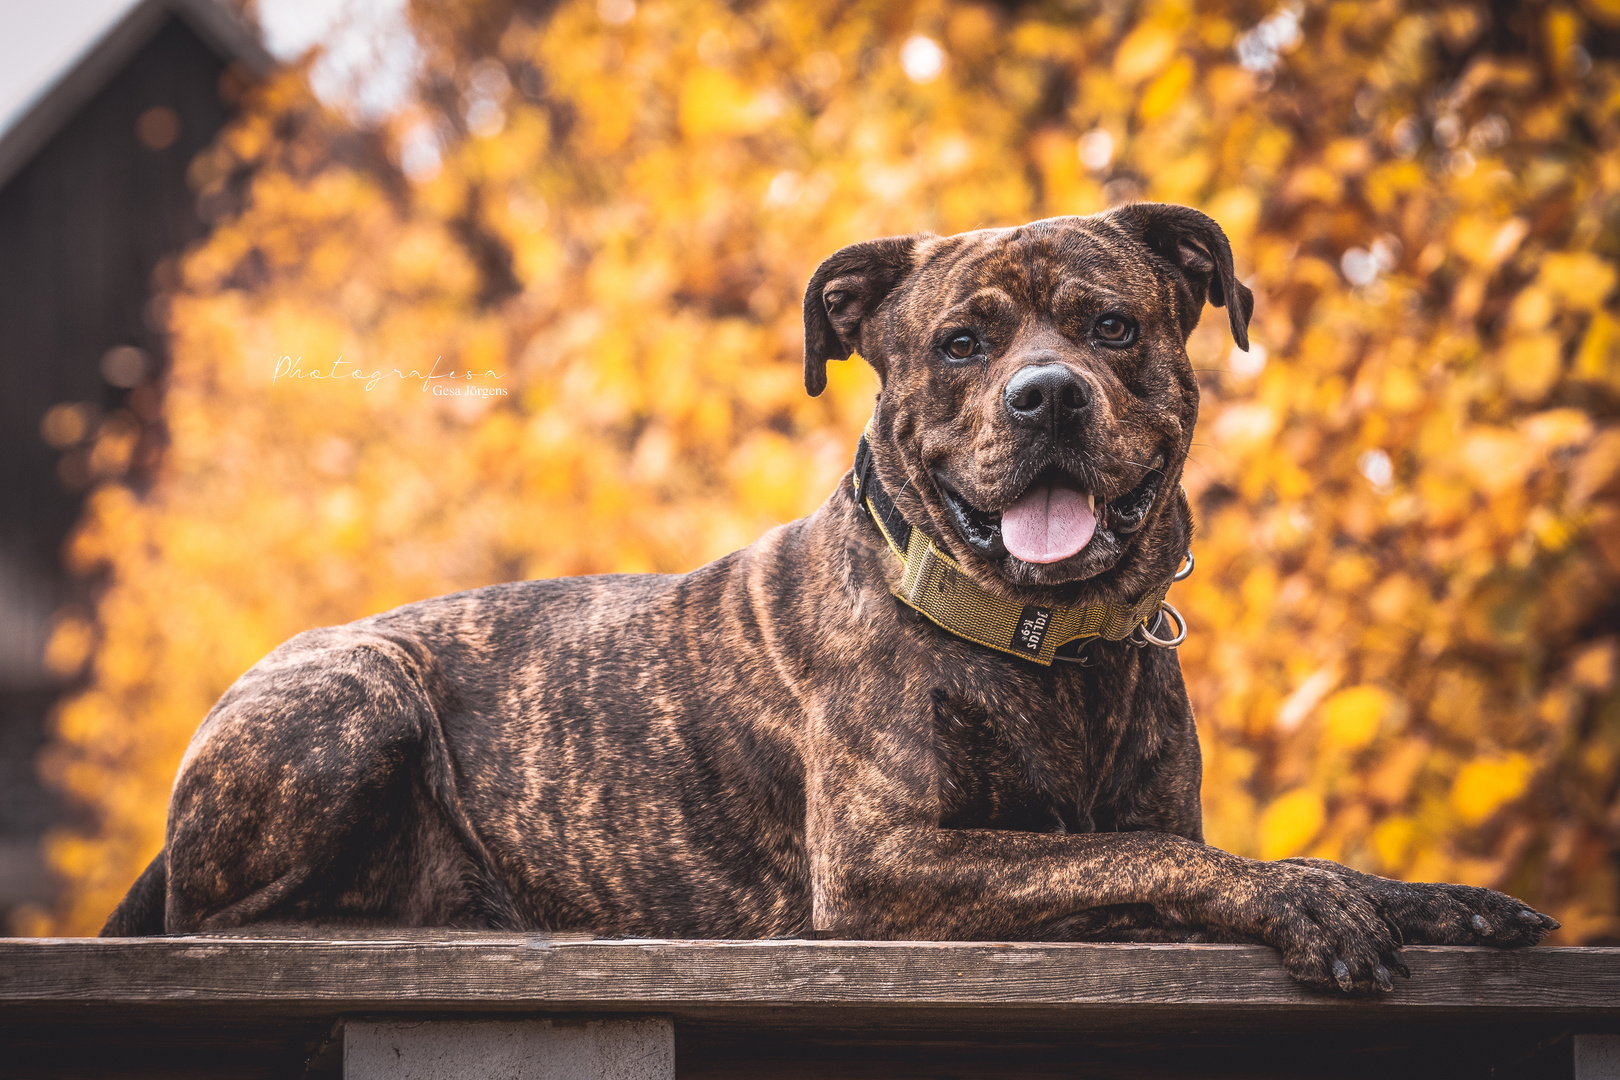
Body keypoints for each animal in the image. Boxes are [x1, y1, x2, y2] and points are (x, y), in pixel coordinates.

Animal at [104, 202, 1555, 997]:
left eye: (1114, 327)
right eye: (961, 344)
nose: (1046, 396)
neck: (1042, 640)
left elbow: (1202, 851)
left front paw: (1432, 898)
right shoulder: (883, 861)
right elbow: (1160, 863)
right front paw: (1310, 903)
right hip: (356, 694)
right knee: (222, 920)